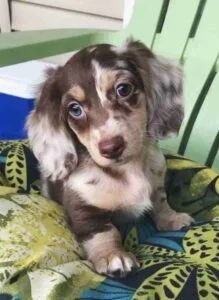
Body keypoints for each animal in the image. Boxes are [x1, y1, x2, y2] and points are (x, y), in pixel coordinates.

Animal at [27, 39, 193, 276]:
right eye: (74, 109)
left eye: (123, 89)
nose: (111, 148)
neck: (129, 170)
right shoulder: (83, 206)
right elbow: (103, 231)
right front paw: (112, 255)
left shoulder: (157, 184)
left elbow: (161, 203)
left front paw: (172, 218)